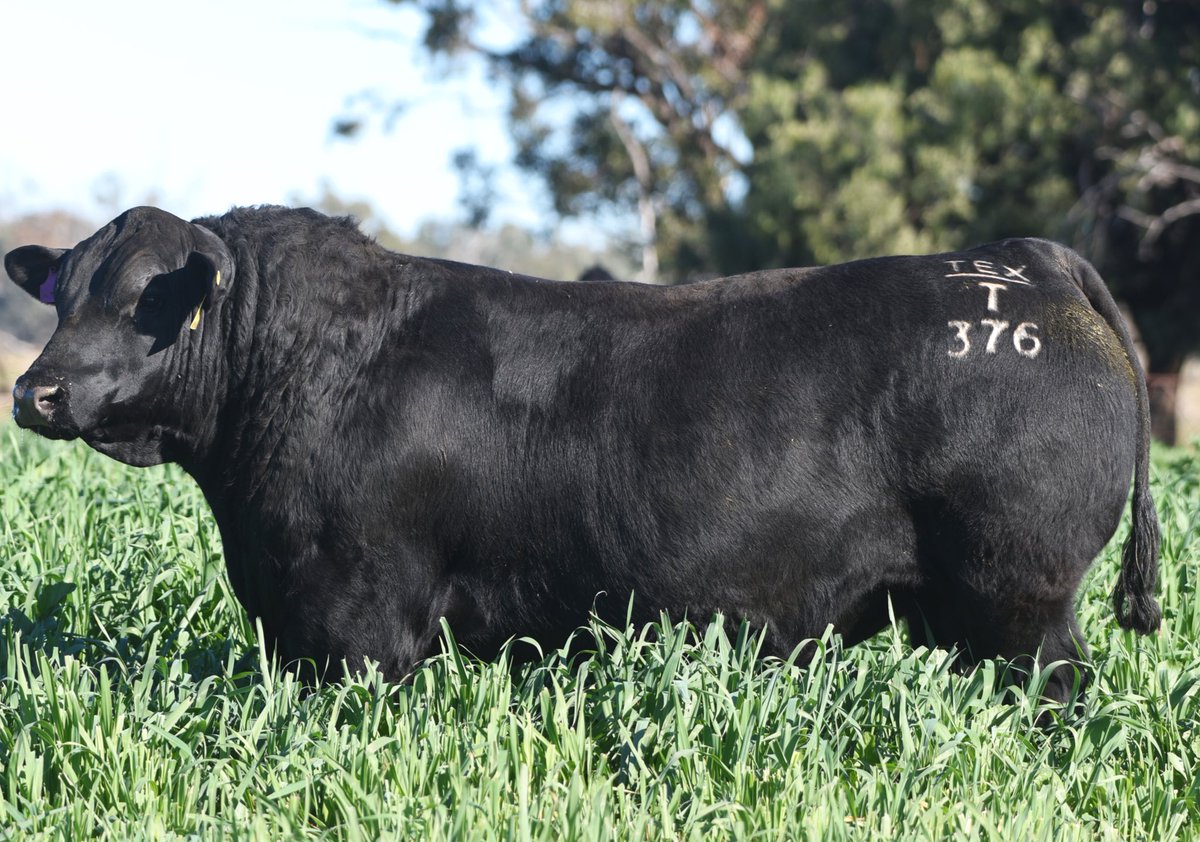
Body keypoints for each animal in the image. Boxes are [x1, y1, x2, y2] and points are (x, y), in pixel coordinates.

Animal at [6, 205, 1160, 704]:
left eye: (141, 297)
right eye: (62, 291)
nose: (36, 389)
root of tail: (1016, 259)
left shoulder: (362, 620)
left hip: (1022, 605)